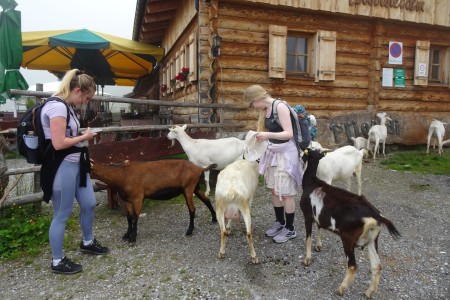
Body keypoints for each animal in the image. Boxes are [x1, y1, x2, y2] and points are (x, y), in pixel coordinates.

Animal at [298, 149, 400, 298]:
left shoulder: (307, 215)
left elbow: (308, 238)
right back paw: (369, 292)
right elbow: (319, 227)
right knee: (377, 266)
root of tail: (375, 215)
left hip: (348, 238)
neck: (312, 182)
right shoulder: (318, 216)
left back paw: (341, 288)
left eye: (306, 153)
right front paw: (319, 246)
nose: (300, 155)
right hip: (372, 240)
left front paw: (307, 259)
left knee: (352, 265)